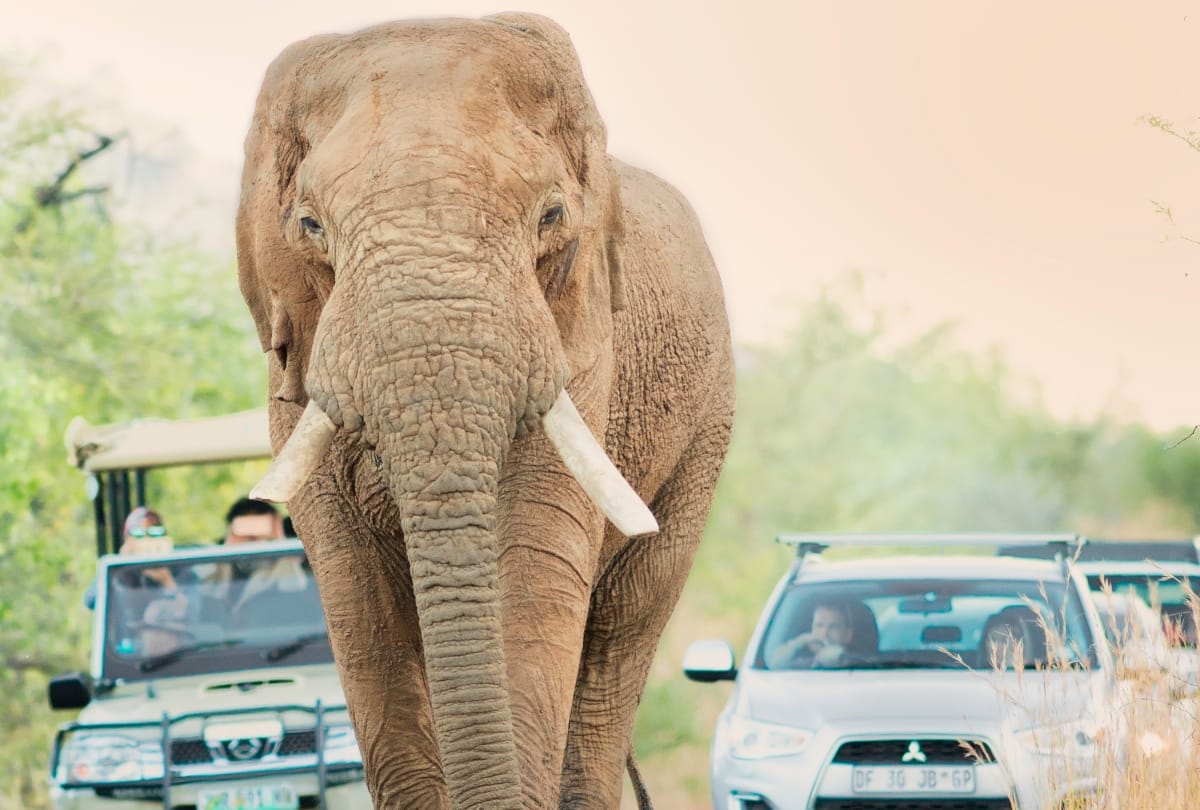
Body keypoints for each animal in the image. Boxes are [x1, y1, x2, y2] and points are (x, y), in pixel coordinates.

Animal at [235, 13, 735, 809]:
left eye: (553, 215)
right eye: (309, 225)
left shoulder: (580, 353)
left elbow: (530, 576)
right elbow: (361, 609)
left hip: (706, 429)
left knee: (624, 625)